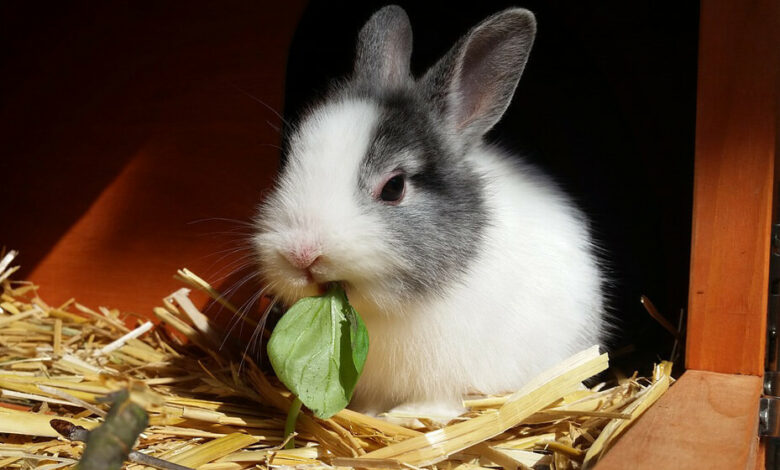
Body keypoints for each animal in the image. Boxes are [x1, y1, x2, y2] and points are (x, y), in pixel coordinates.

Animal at [253, 3, 608, 422]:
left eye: (394, 187)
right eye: (290, 161)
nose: (301, 254)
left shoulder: (449, 377)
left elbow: (440, 402)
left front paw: (404, 417)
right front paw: (372, 414)